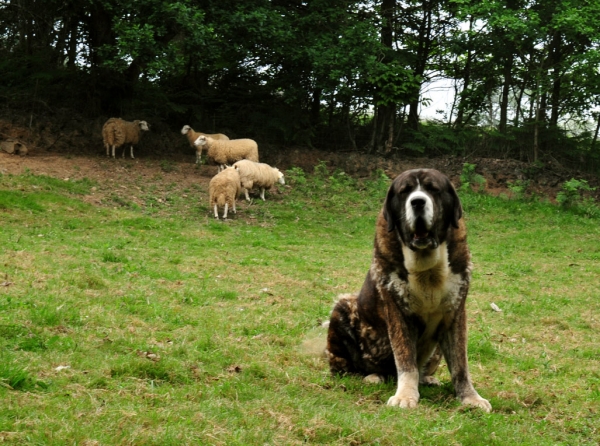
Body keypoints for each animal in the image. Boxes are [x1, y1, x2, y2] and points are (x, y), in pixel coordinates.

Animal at [326, 169, 490, 412]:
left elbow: (460, 365)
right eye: (405, 191)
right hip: (343, 308)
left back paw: (427, 379)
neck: (426, 267)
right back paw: (372, 376)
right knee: (348, 368)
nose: (418, 202)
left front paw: (470, 397)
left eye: (433, 189)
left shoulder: (455, 314)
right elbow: (406, 360)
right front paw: (405, 396)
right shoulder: (398, 313)